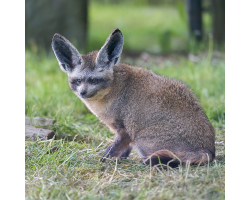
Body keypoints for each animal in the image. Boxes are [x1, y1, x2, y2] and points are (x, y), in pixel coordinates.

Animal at [52, 28, 215, 168]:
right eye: (78, 81)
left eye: (94, 80)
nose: (83, 92)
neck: (114, 90)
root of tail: (208, 151)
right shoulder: (124, 134)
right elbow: (123, 150)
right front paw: (119, 159)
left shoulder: (126, 131)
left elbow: (111, 151)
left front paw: (103, 161)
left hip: (141, 139)